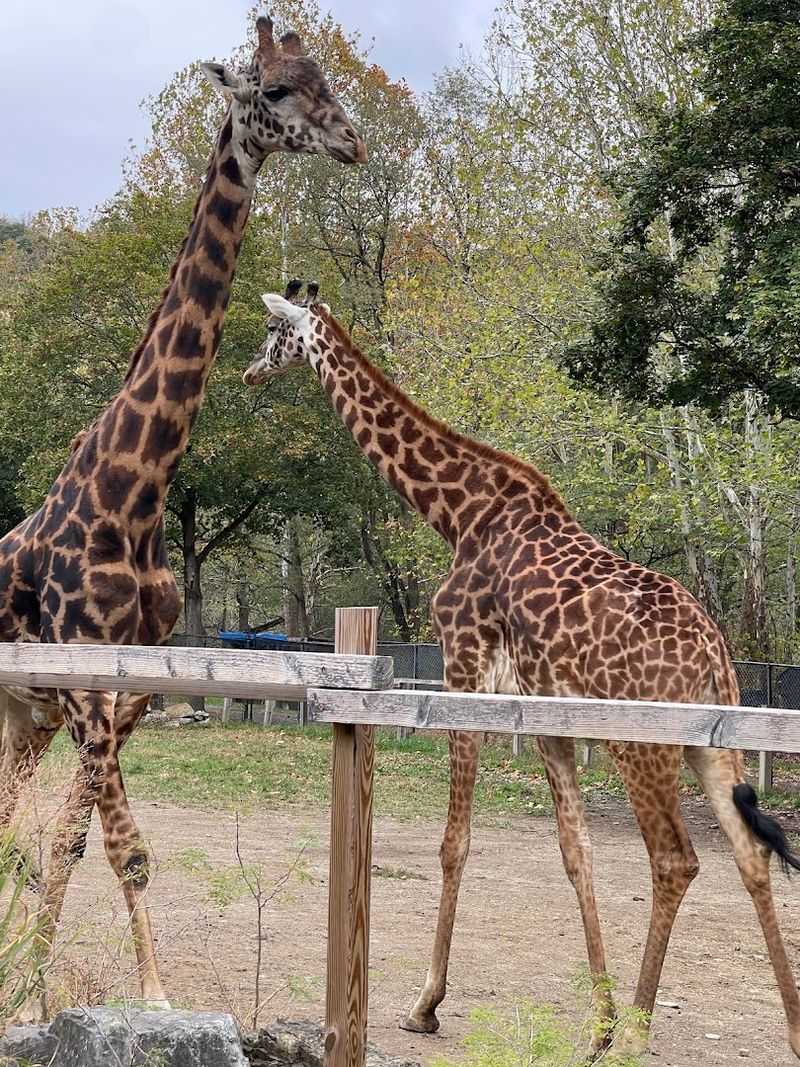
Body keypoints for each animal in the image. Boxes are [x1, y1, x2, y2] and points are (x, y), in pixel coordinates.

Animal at [0, 23, 365, 1014]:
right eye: (272, 90)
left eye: (326, 79)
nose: (352, 142)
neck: (137, 494)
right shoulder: (84, 681)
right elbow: (109, 843)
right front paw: (137, 998)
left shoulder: (124, 689)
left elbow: (78, 840)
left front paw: (50, 994)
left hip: (24, 715)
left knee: (11, 819)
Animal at [244, 282, 800, 1058]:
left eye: (272, 332)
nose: (247, 373)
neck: (457, 510)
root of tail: (716, 657)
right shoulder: (542, 713)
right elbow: (575, 852)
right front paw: (595, 1022)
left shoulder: (464, 666)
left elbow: (455, 842)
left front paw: (426, 1002)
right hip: (706, 745)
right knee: (749, 854)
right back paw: (789, 1030)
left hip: (641, 744)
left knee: (676, 859)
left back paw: (637, 1038)